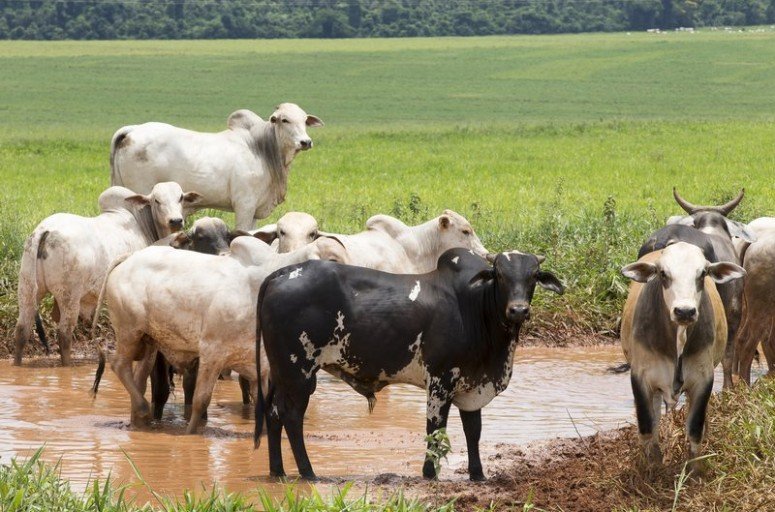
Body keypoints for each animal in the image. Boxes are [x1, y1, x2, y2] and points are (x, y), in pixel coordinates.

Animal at [14, 183, 199, 366]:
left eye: (180, 197)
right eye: (157, 201)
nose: (175, 220)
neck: (142, 223)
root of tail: (46, 230)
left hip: (27, 288)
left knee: (22, 329)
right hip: (70, 297)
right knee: (64, 333)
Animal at [96, 235, 348, 433]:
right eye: (333, 261)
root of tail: (130, 257)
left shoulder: (259, 365)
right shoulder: (211, 352)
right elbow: (201, 401)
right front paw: (190, 434)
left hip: (150, 342)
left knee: (138, 379)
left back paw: (139, 421)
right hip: (129, 331)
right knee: (119, 366)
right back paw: (143, 411)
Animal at [110, 103, 323, 230]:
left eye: (305, 120)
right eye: (285, 120)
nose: (306, 142)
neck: (262, 149)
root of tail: (133, 130)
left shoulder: (255, 210)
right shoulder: (244, 205)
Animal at [254, 248, 565, 481]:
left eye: (533, 276)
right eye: (499, 274)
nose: (518, 310)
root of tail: (282, 273)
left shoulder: (471, 386)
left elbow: (473, 432)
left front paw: (478, 475)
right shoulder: (441, 381)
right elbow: (435, 430)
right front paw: (429, 473)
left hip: (281, 373)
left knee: (273, 414)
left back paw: (278, 472)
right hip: (299, 372)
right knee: (292, 417)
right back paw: (308, 473)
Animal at [620, 242, 745, 470]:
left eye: (702, 273)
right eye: (663, 273)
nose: (685, 311)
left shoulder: (703, 379)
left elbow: (694, 427)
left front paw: (694, 468)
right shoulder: (640, 376)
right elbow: (646, 426)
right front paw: (649, 467)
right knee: (654, 417)